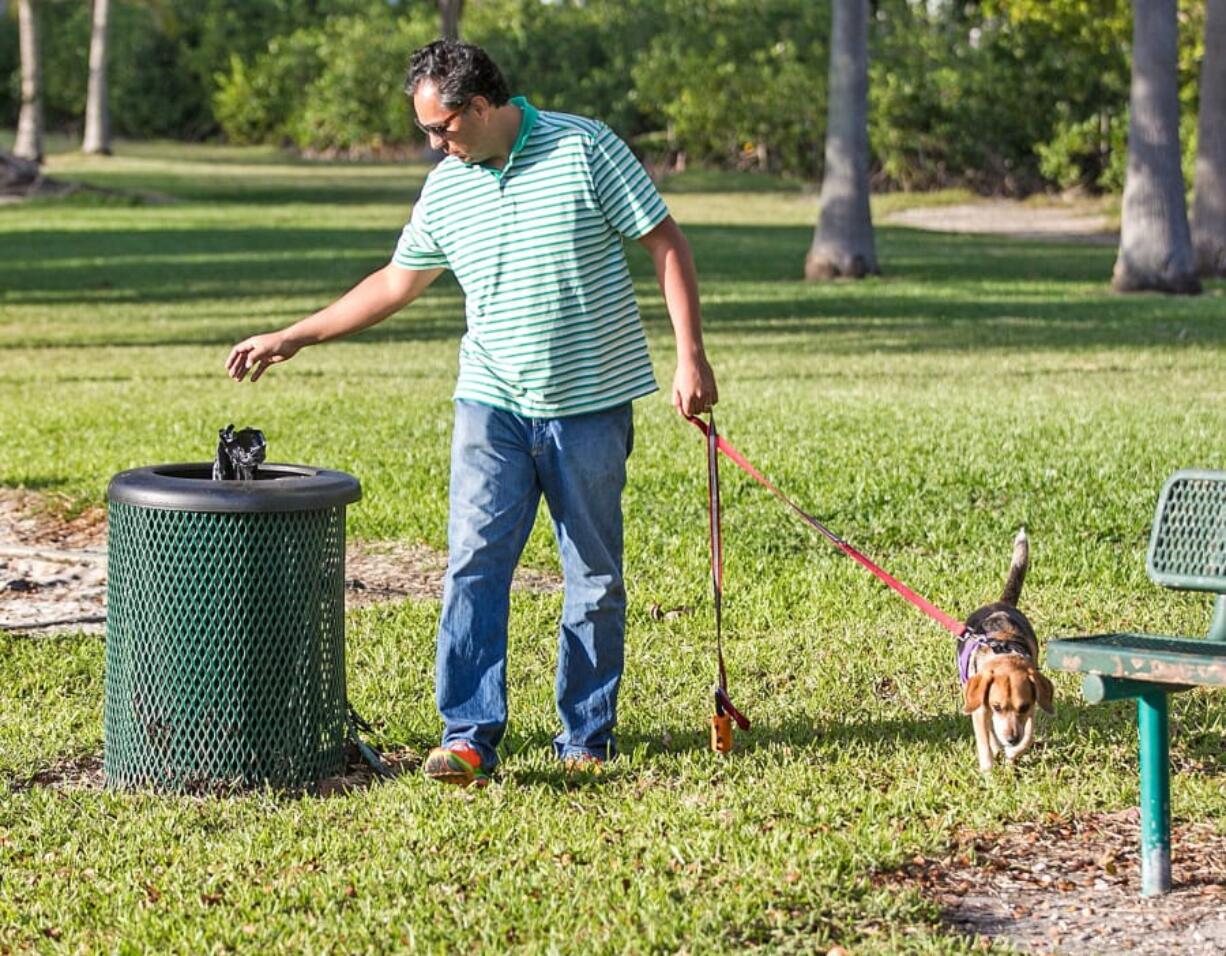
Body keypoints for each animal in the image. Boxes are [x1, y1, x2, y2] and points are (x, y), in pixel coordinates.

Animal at [956, 529, 1054, 769]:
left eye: (1023, 706)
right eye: (998, 706)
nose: (1011, 738)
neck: (1004, 655)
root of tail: (1002, 603)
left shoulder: (1032, 708)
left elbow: (1028, 734)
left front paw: (1013, 753)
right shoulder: (981, 709)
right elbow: (985, 741)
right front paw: (988, 771)